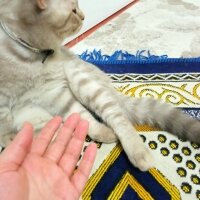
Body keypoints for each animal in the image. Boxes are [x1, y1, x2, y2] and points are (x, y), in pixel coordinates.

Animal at [0, 0, 199, 172]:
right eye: (73, 10)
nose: (83, 16)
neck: (30, 57)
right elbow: (6, 123)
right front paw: (13, 142)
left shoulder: (55, 92)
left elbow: (83, 116)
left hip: (81, 80)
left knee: (116, 117)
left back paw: (134, 149)